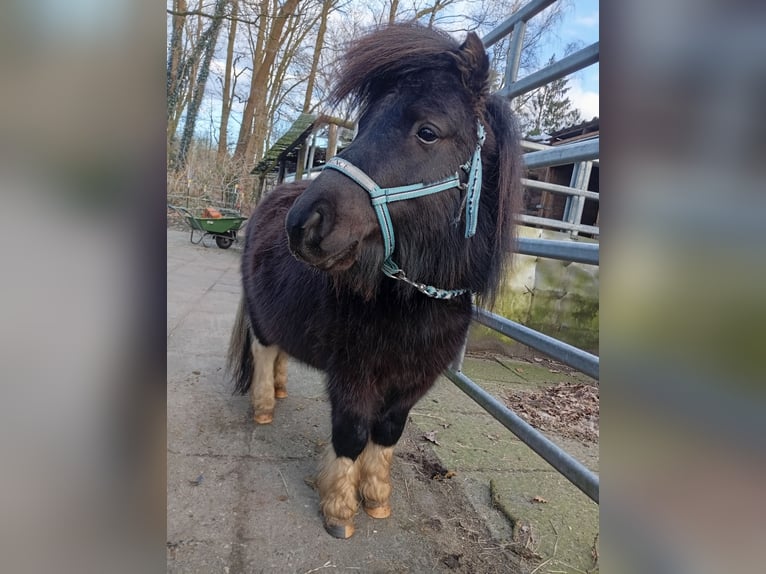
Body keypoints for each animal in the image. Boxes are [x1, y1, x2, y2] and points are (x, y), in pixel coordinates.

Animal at [226, 22, 520, 540]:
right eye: (362, 127)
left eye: (427, 132)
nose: (305, 225)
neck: (414, 301)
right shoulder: (353, 375)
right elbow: (351, 434)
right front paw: (340, 510)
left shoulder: (414, 381)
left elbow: (386, 432)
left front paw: (377, 497)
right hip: (259, 317)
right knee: (263, 351)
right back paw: (263, 406)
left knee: (280, 351)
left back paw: (280, 389)